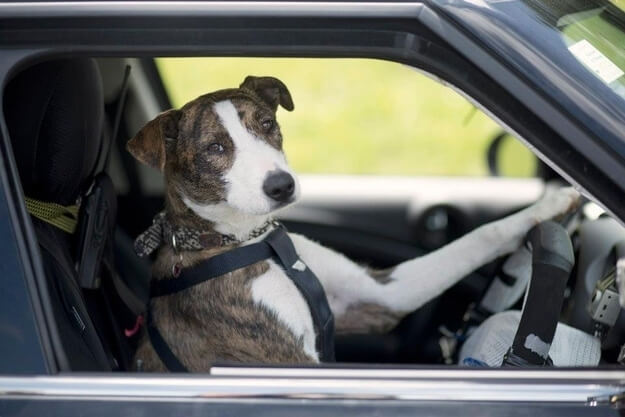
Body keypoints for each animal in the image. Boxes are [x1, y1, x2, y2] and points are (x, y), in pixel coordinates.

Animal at [128, 75, 580, 370]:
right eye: (215, 148)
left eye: (267, 124)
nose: (282, 186)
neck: (247, 241)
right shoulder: (287, 364)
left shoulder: (374, 297)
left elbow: (478, 238)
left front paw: (552, 202)